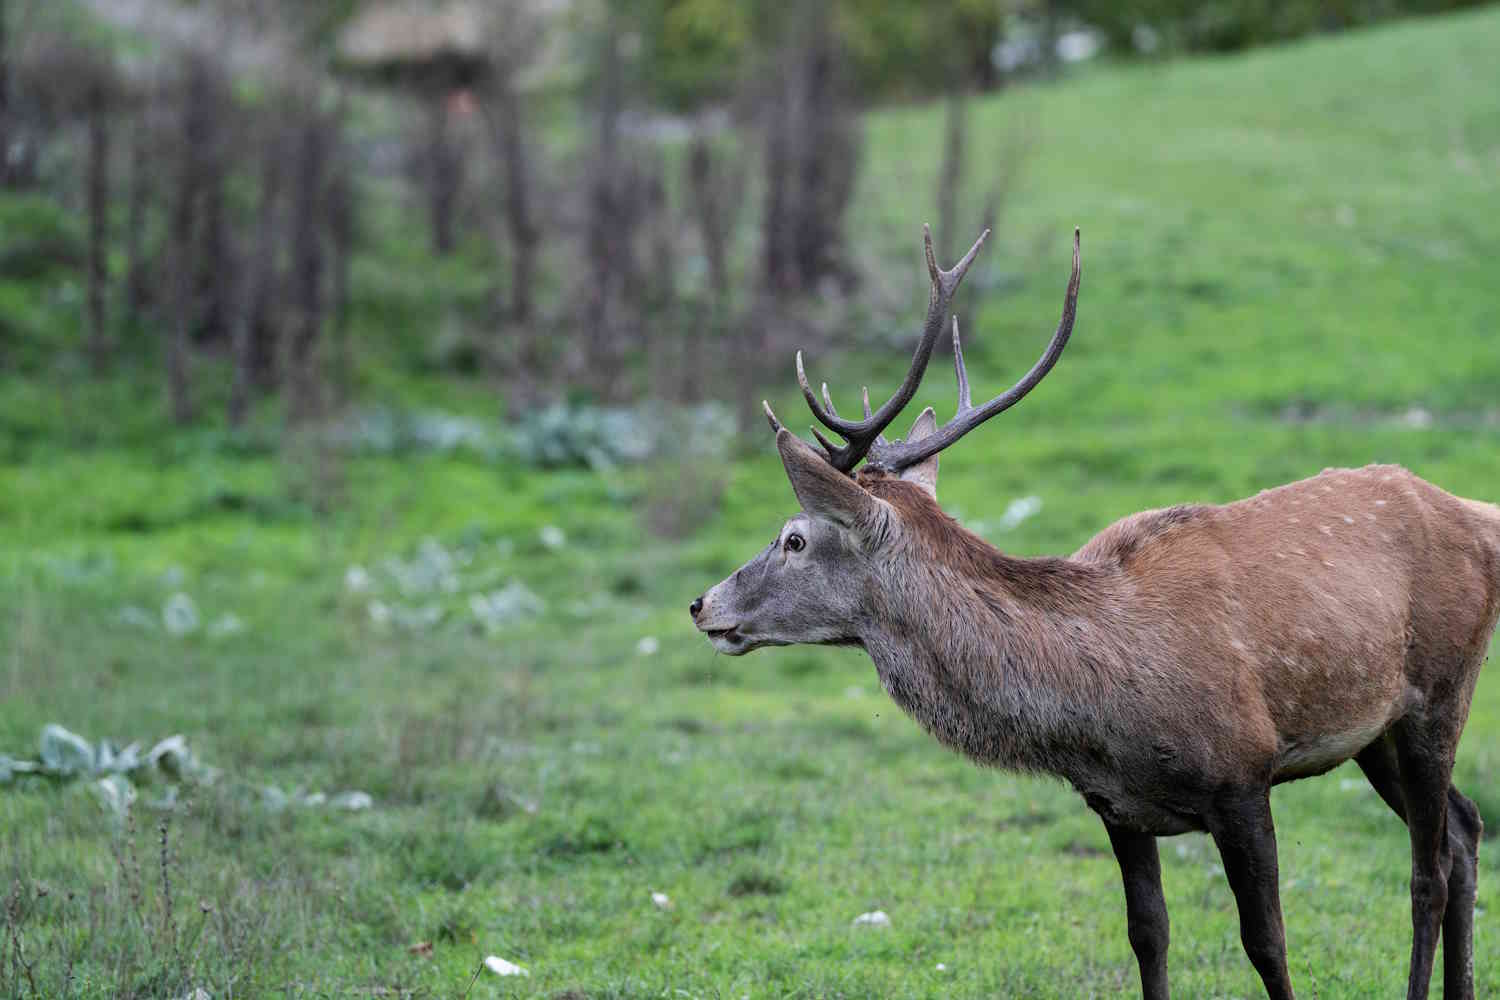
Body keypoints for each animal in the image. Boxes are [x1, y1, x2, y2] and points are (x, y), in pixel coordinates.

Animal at [687, 226, 1488, 1000]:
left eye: (794, 537)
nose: (702, 603)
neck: (1099, 709)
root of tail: (1483, 515)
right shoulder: (1117, 806)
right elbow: (1148, 936)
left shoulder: (1243, 773)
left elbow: (1267, 945)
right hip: (1373, 732)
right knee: (1466, 826)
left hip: (1442, 688)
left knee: (1429, 869)